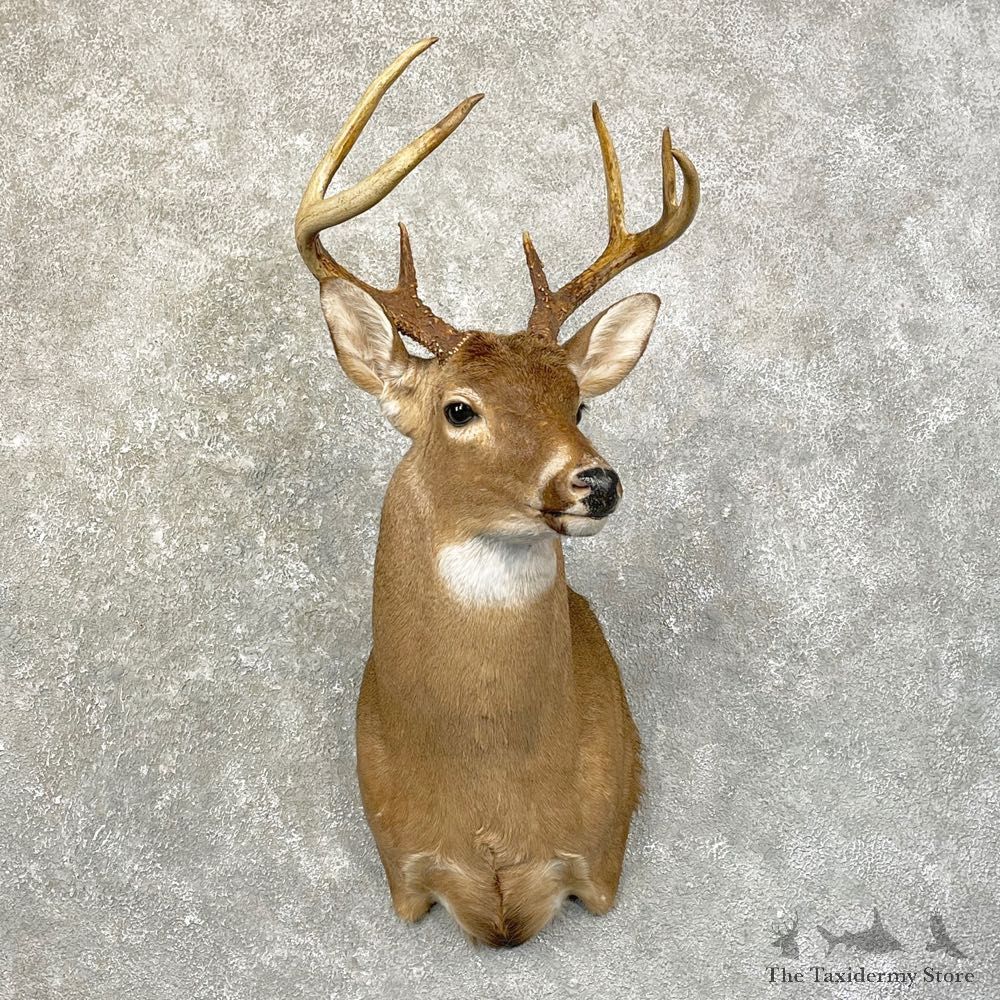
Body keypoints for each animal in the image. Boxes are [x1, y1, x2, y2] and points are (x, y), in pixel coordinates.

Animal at [295, 38, 699, 947]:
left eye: (578, 403)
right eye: (458, 408)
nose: (597, 482)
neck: (492, 806)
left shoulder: (601, 861)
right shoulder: (405, 880)